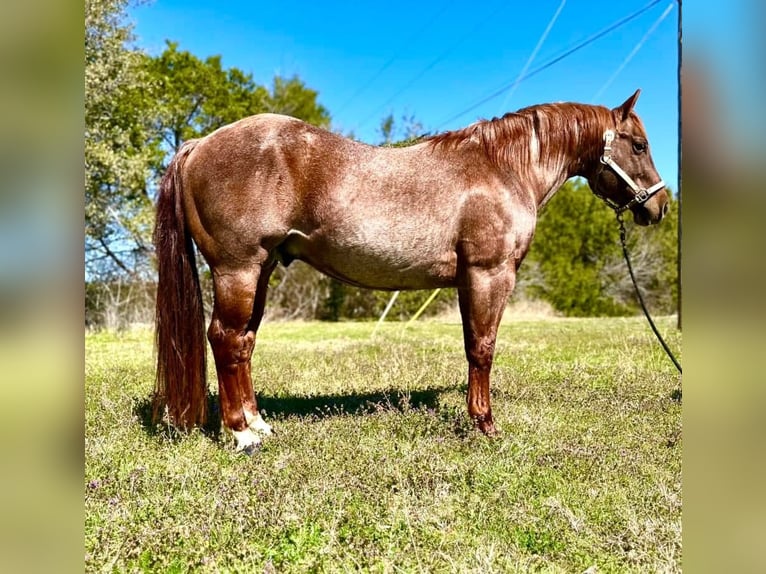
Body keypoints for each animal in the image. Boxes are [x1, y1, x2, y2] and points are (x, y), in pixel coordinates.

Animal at [156, 89, 672, 454]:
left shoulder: (469, 279)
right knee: (225, 339)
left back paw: (259, 424)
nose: (660, 206)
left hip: (259, 270)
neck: (500, 168)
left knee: (243, 343)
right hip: (238, 269)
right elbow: (482, 349)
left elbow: (472, 347)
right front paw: (485, 425)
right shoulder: (489, 274)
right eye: (640, 145)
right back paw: (241, 435)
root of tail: (200, 144)